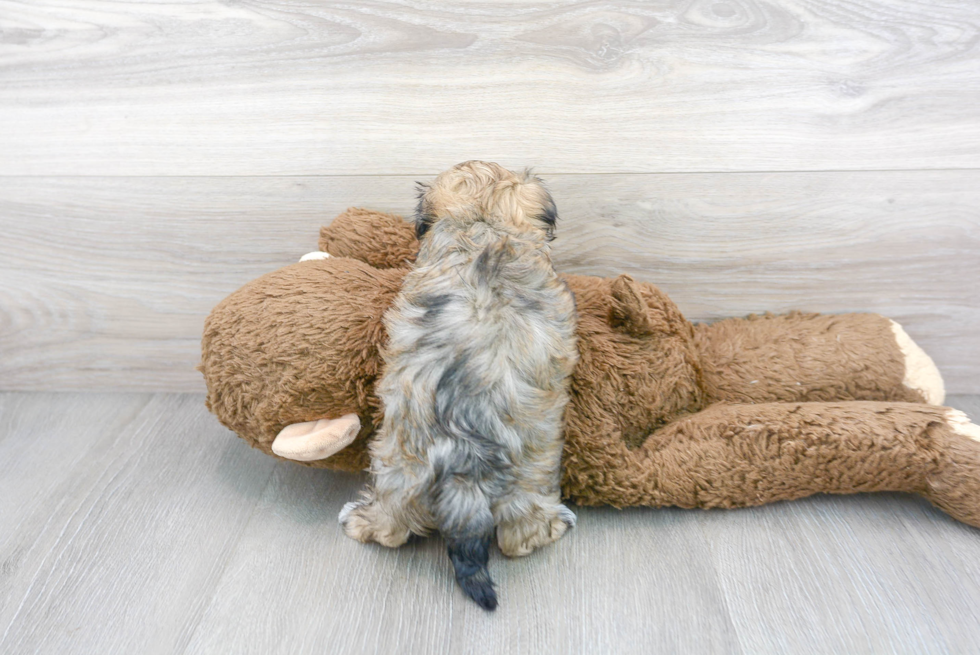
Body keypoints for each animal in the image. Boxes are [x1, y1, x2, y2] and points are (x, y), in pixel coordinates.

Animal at [340, 161, 580, 612]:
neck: (485, 224)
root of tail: (463, 459)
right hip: (529, 478)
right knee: (520, 534)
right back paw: (550, 526)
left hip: (397, 467)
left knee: (392, 525)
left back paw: (362, 521)